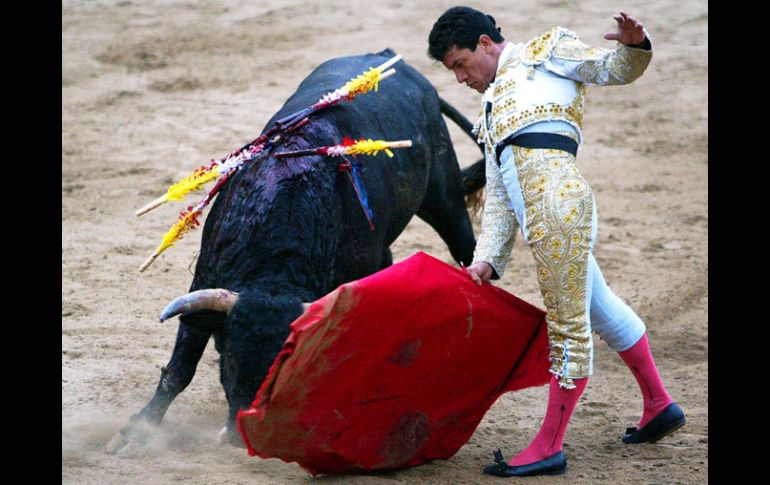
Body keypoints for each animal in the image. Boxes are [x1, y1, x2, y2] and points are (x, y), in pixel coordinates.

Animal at [107, 47, 484, 452]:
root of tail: (389, 58)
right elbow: (180, 368)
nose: (240, 434)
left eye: (281, 365)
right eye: (230, 358)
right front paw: (136, 433)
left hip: (444, 199)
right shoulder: (205, 279)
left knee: (466, 246)